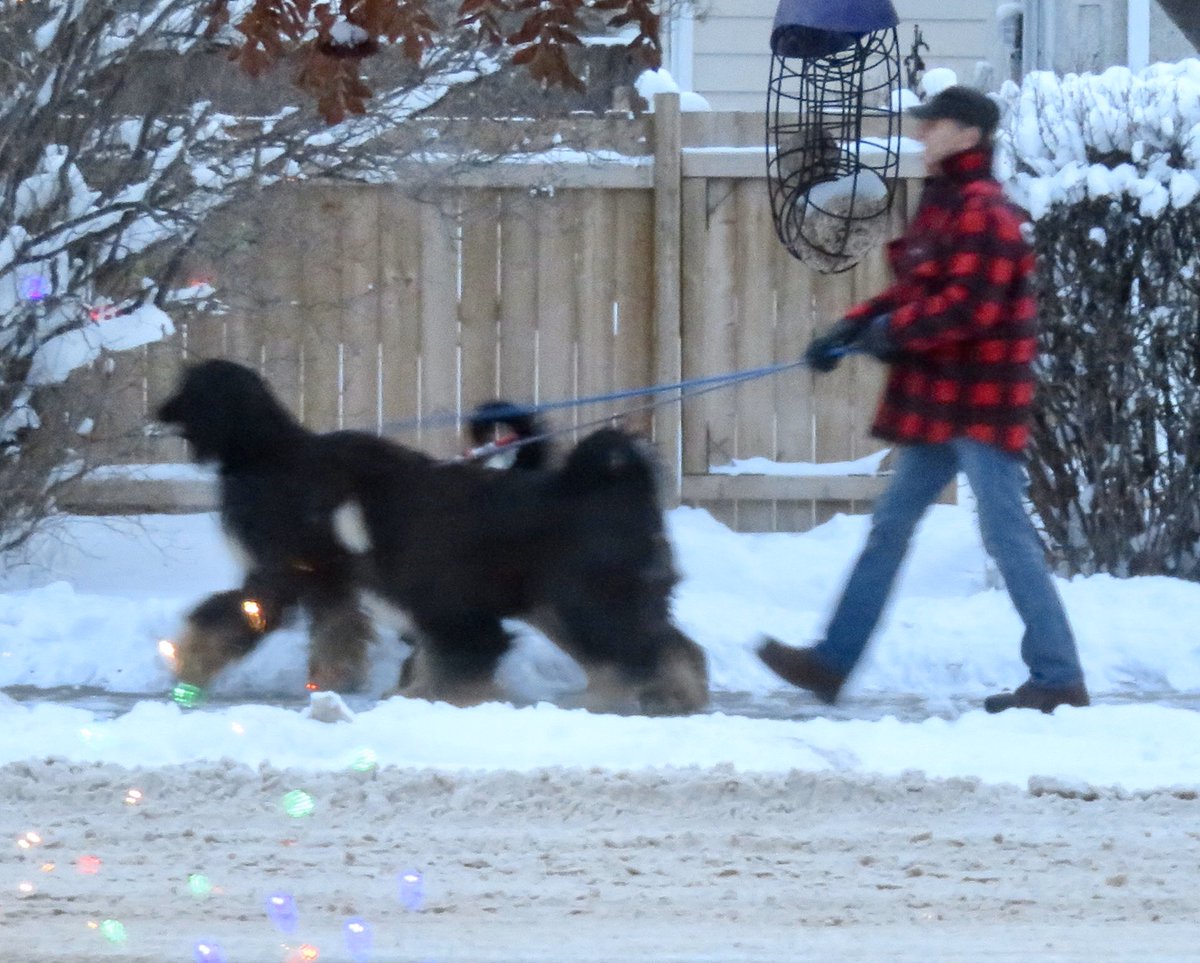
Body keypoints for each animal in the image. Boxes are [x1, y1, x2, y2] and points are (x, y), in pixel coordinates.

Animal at [157, 359, 709, 715]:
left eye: (187, 388)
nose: (156, 413)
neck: (266, 453)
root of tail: (617, 483)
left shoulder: (283, 575)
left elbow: (228, 618)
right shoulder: (326, 583)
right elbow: (335, 636)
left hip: (584, 599)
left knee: (650, 647)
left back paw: (663, 696)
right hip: (566, 603)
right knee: (657, 648)